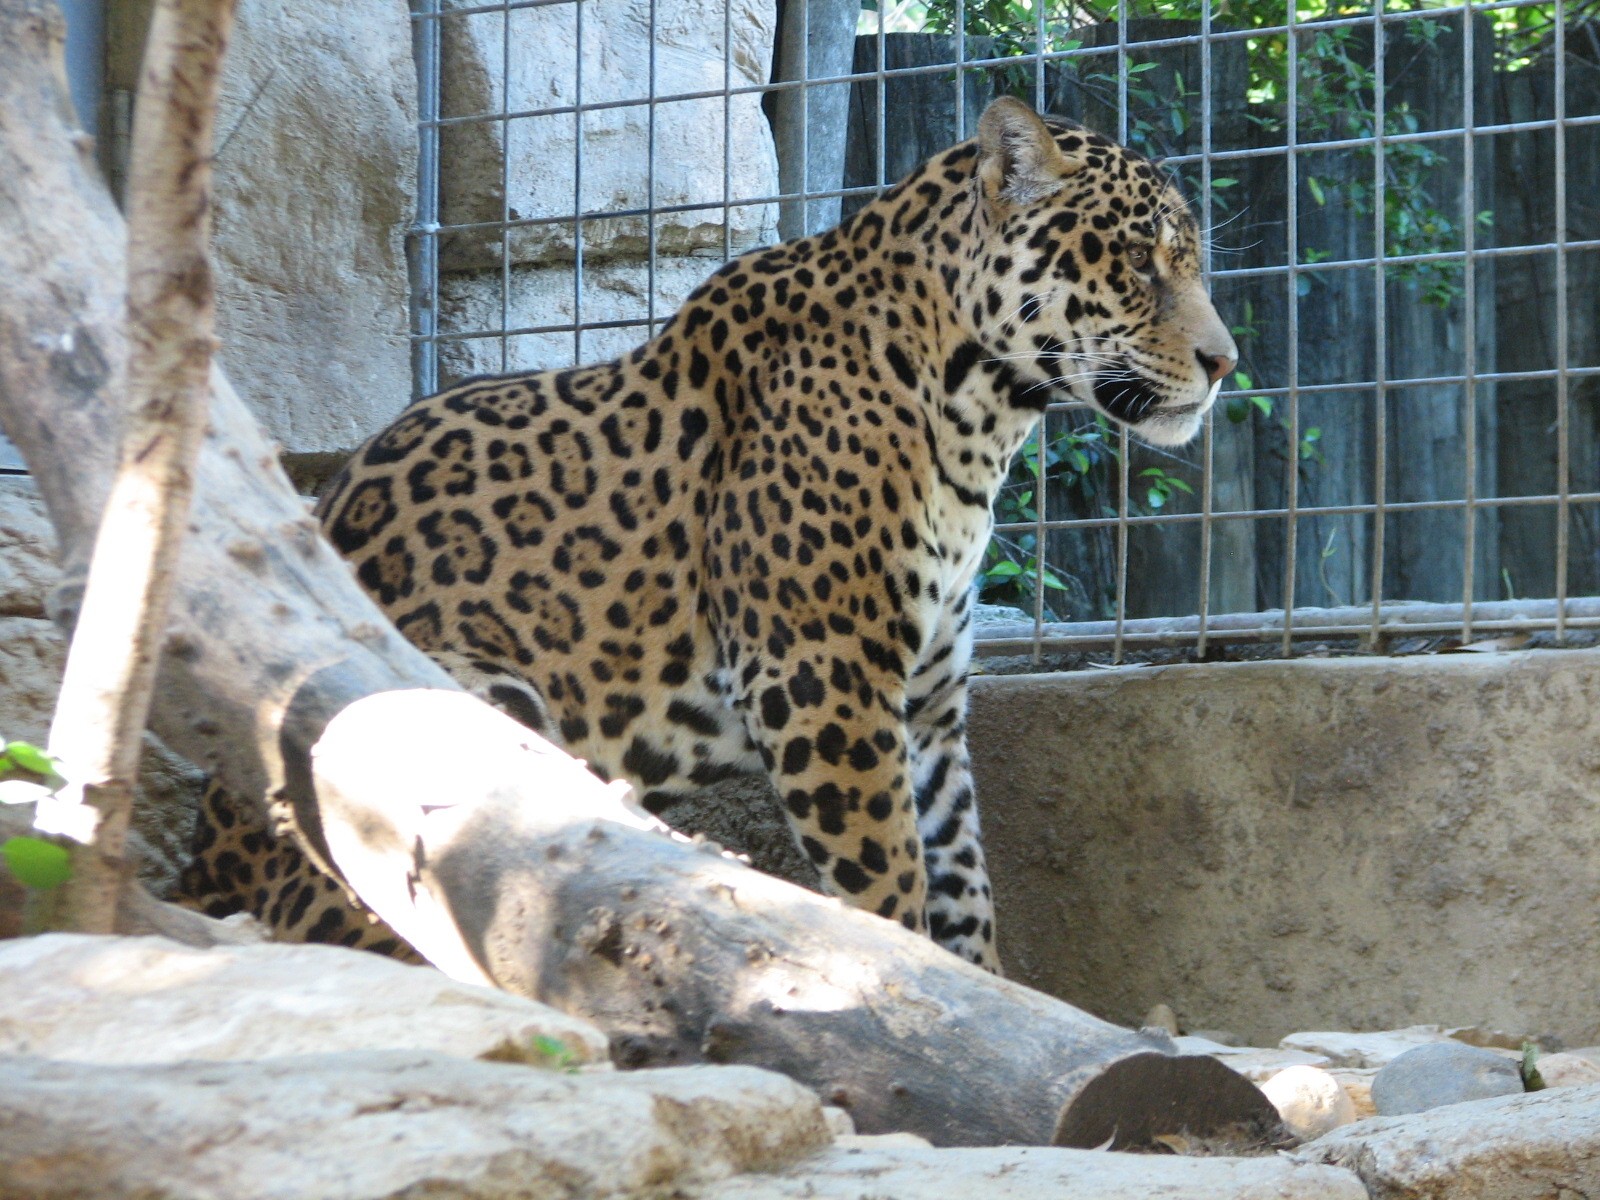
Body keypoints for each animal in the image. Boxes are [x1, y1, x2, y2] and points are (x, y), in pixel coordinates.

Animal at [179, 97, 1237, 972]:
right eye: (1137, 261)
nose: (1226, 362)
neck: (980, 410)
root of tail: (206, 867)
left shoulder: (930, 706)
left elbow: (963, 883)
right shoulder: (823, 674)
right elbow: (890, 882)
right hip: (468, 699)